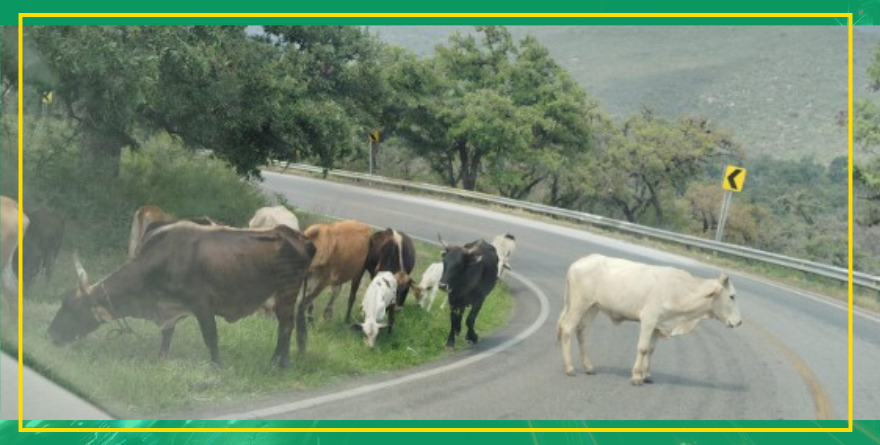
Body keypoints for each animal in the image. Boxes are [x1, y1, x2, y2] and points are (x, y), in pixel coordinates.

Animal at [48, 222, 315, 368]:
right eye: (62, 302)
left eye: (73, 310)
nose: (50, 333)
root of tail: (299, 237)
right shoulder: (169, 310)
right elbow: (166, 337)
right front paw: (161, 359)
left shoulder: (202, 306)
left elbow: (211, 339)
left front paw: (217, 368)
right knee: (286, 327)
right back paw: (279, 360)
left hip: (286, 293)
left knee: (286, 327)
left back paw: (278, 363)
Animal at [556, 254, 743, 385]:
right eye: (732, 296)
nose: (739, 322)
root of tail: (578, 263)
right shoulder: (649, 319)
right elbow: (643, 348)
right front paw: (636, 377)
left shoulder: (658, 325)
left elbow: (651, 350)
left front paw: (646, 375)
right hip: (579, 304)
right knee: (567, 328)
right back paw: (570, 368)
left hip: (592, 307)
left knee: (582, 331)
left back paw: (588, 366)